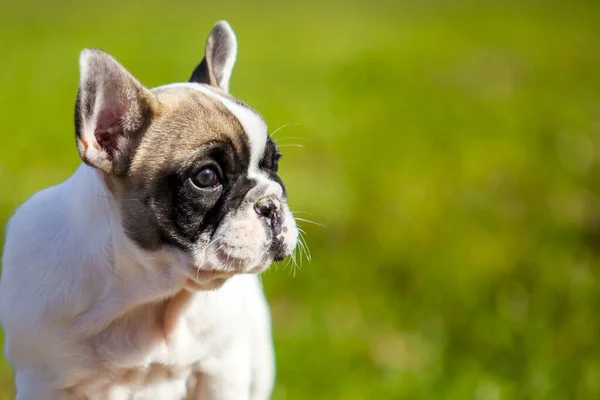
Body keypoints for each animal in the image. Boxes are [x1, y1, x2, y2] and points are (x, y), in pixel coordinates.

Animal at [0, 20, 298, 398]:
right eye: (206, 177)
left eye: (274, 163)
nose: (271, 204)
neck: (149, 296)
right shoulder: (42, 381)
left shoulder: (222, 371)